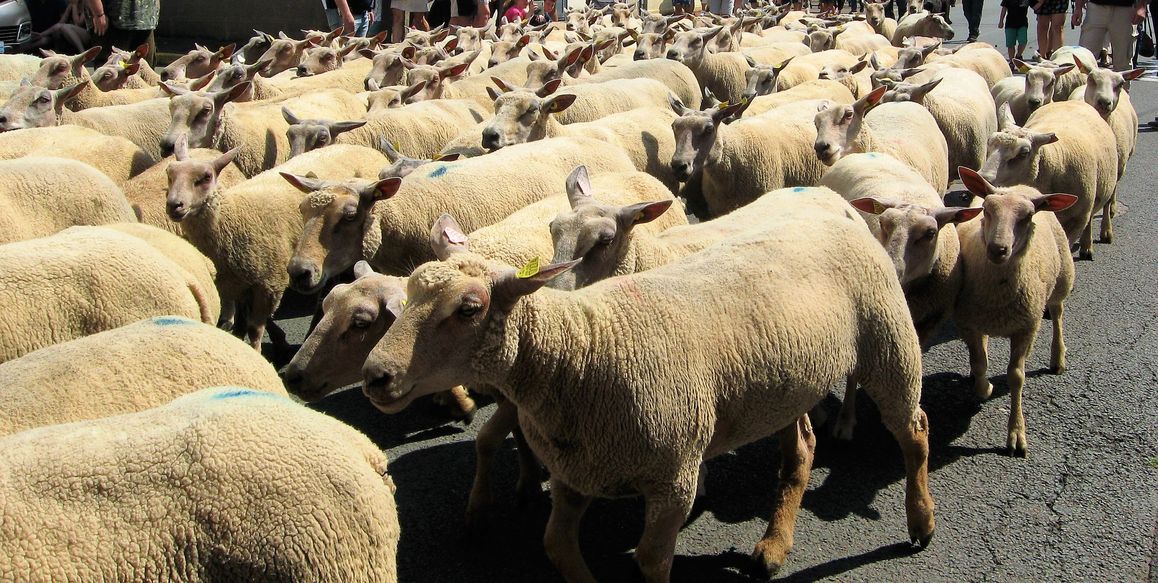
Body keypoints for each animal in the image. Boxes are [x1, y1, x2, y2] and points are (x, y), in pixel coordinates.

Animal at [165, 140, 389, 349]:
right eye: (169, 174)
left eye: (206, 177)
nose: (174, 205)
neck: (232, 216)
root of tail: (366, 149)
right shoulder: (239, 283)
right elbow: (244, 321)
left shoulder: (269, 282)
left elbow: (255, 328)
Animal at [362, 185, 937, 580]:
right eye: (409, 293)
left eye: (469, 308)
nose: (375, 375)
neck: (585, 347)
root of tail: (834, 206)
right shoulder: (576, 473)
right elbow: (557, 546)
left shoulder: (672, 478)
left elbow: (651, 560)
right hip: (788, 378)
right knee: (802, 449)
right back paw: (774, 546)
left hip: (887, 339)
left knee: (914, 431)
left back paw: (920, 522)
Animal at [953, 168, 1076, 457]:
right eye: (986, 210)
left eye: (1027, 217)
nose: (998, 249)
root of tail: (1020, 185)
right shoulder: (968, 322)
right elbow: (979, 362)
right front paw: (983, 386)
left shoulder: (1026, 327)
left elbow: (1016, 376)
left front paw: (1016, 434)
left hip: (1062, 278)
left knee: (1058, 314)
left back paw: (1058, 357)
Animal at [978, 102, 1117, 259]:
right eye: (989, 142)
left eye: (1024, 153)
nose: (983, 177)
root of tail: (1073, 101)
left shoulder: (1077, 220)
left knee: (1103, 207)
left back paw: (1100, 237)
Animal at [1069, 63, 1144, 244]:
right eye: (1091, 79)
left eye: (1120, 84)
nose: (1104, 102)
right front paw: (1086, 240)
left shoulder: (1114, 169)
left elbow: (1107, 200)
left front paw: (1106, 231)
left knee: (1113, 192)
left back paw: (1113, 209)